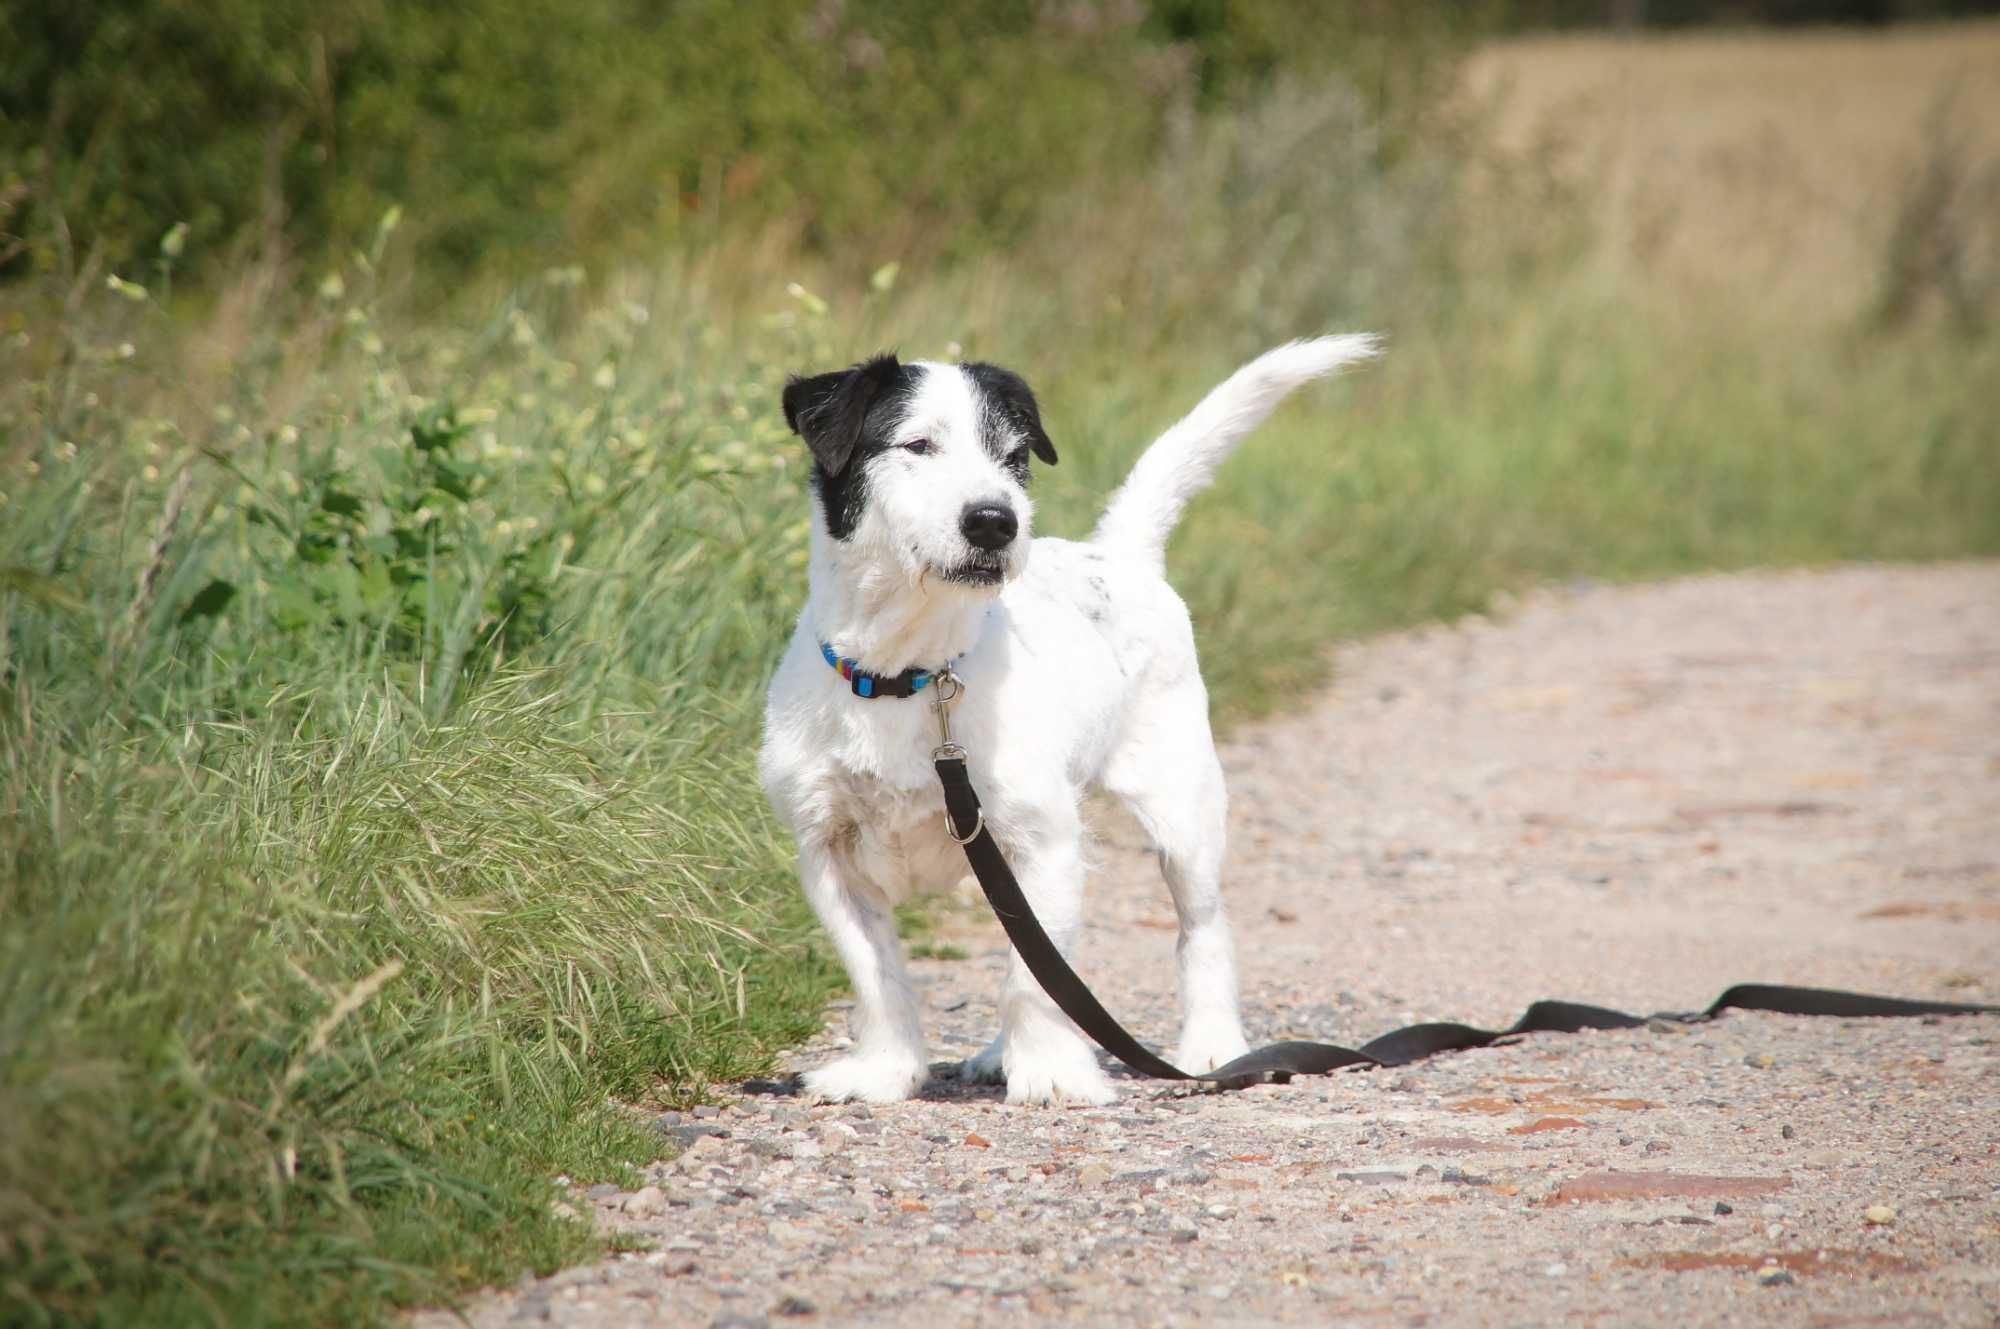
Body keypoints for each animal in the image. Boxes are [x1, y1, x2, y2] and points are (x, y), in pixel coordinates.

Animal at [760, 338, 1376, 1104]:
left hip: (1185, 812)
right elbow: (878, 975)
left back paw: (1211, 1044)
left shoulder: (1042, 841)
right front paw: (884, 1069)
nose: (995, 520)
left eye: (1014, 455)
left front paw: (1051, 1073)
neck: (912, 675)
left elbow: (1035, 979)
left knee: (1200, 929)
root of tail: (1118, 553)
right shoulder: (830, 856)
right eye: (918, 444)